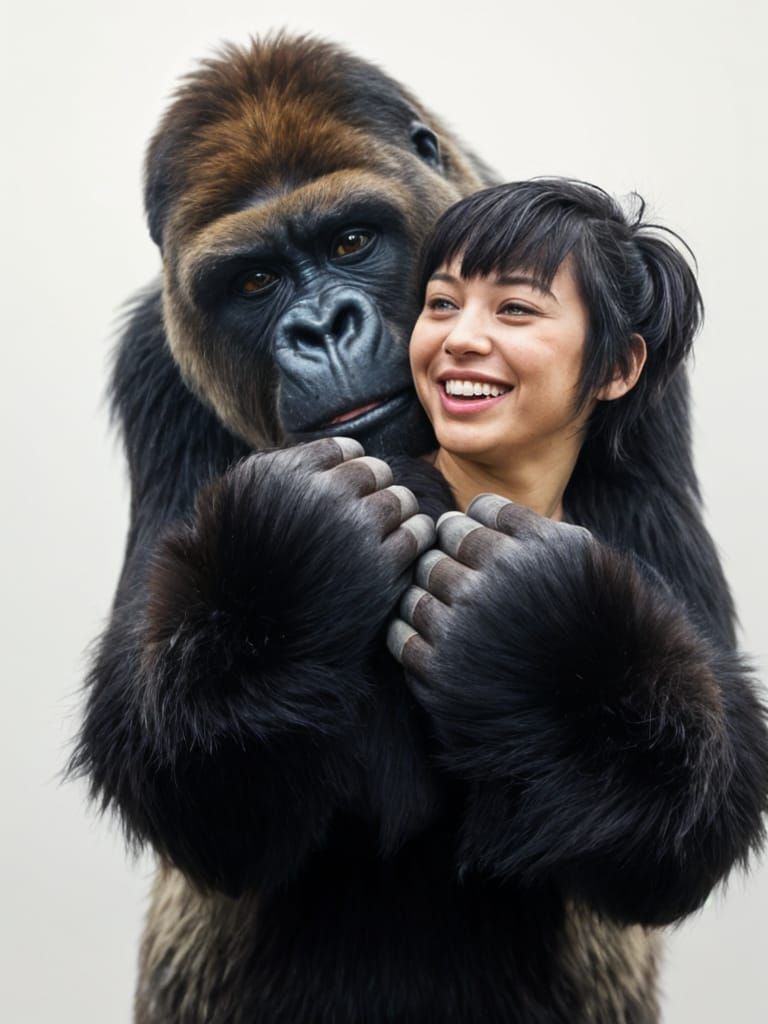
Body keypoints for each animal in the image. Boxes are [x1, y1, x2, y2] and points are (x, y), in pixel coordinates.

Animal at [70, 33, 767, 1024]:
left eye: (351, 241)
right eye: (254, 280)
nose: (322, 326)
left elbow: (694, 813)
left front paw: (552, 641)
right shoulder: (153, 370)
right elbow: (206, 814)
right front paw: (281, 567)